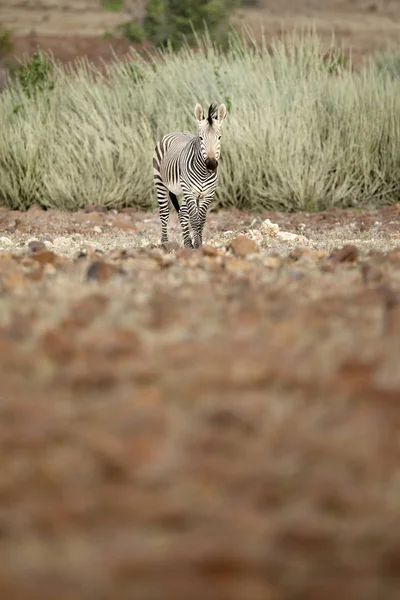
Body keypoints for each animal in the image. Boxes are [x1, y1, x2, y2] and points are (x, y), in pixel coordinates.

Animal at [153, 102, 227, 247]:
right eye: (201, 138)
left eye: (219, 137)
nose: (211, 165)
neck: (204, 174)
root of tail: (176, 131)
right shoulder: (189, 191)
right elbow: (194, 219)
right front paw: (197, 245)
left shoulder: (208, 193)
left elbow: (201, 219)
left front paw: (198, 243)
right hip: (160, 182)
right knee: (164, 213)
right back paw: (165, 242)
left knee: (183, 214)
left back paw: (187, 242)